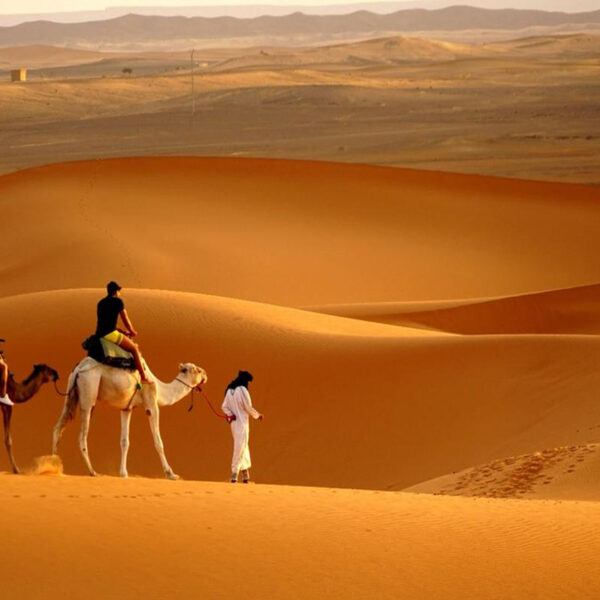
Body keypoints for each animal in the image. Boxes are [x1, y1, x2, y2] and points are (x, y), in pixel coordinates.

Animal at [52, 358, 206, 480]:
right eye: (197, 370)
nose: (206, 374)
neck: (160, 389)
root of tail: (78, 369)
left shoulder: (127, 409)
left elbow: (125, 441)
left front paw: (123, 473)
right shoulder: (151, 404)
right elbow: (158, 442)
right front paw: (171, 474)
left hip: (71, 393)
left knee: (57, 428)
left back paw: (54, 466)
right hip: (88, 392)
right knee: (82, 436)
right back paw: (93, 472)